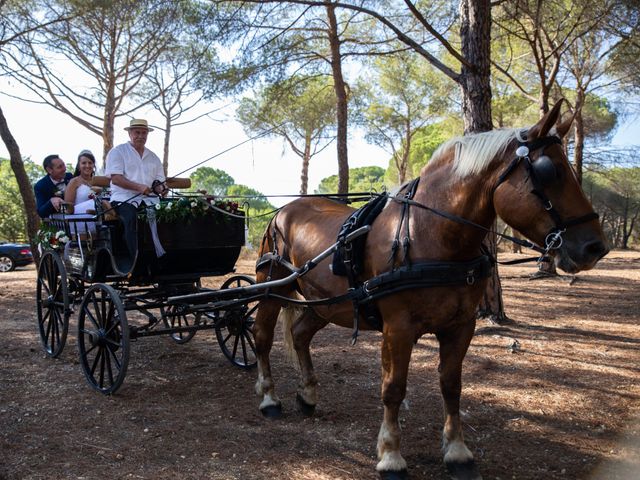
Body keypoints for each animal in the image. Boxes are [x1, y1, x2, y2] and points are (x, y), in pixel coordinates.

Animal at [252, 102, 608, 480]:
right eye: (548, 171)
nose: (595, 247)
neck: (430, 234)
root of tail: (283, 210)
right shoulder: (398, 328)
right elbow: (393, 388)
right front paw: (391, 455)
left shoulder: (461, 325)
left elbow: (451, 385)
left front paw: (457, 451)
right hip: (272, 288)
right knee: (262, 336)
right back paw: (269, 397)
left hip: (327, 303)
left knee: (300, 333)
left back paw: (307, 395)